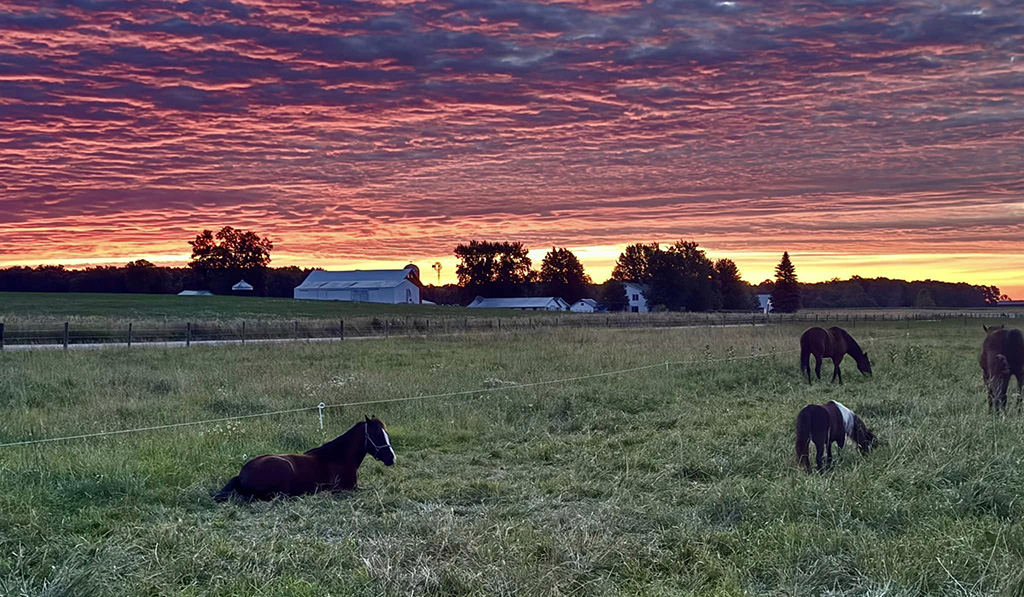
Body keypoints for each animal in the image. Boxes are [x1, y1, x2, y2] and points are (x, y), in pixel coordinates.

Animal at [214, 415, 393, 503]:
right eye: (377, 435)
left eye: (386, 433)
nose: (392, 458)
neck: (339, 457)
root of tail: (240, 475)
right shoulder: (344, 489)